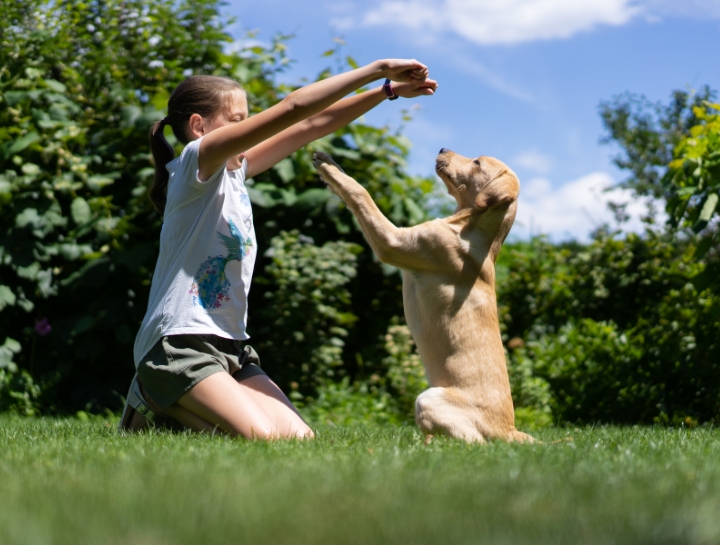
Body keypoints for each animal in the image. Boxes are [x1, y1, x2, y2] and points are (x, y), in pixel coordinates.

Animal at [312, 148, 532, 442]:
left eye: (477, 162)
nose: (442, 149)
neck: (470, 227)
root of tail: (508, 430)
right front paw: (332, 164)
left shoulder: (393, 241)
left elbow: (360, 193)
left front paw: (328, 167)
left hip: (429, 399)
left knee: (471, 442)